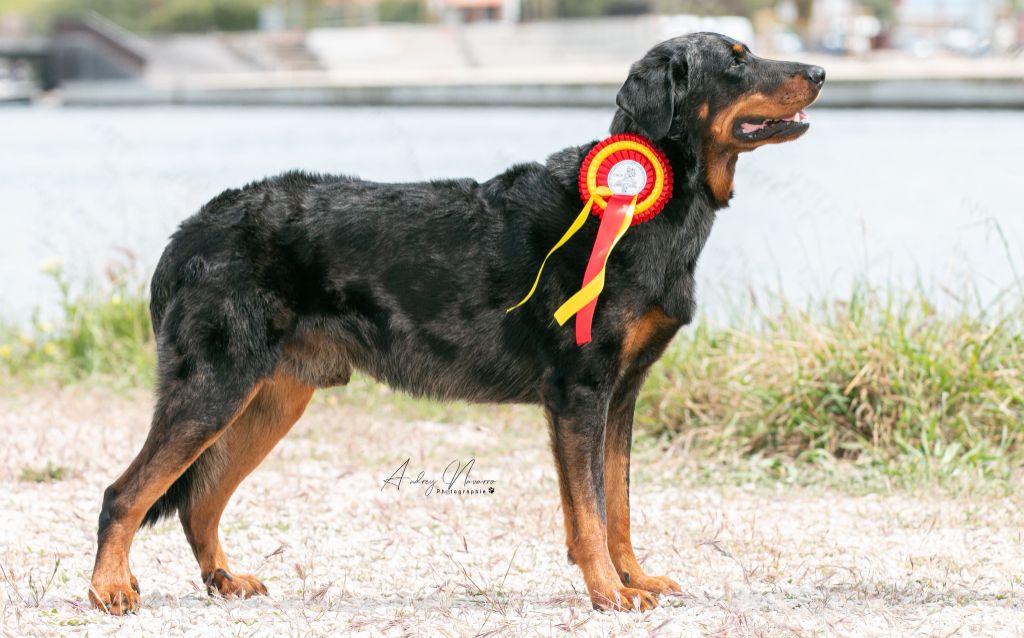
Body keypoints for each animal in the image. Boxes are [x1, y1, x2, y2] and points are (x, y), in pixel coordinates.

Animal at [88, 33, 823, 614]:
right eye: (737, 62)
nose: (818, 72)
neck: (646, 207)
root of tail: (190, 230)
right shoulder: (580, 392)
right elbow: (588, 510)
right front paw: (608, 592)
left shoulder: (622, 395)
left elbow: (615, 506)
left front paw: (632, 578)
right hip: (214, 387)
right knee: (126, 493)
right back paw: (109, 589)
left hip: (270, 399)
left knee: (198, 499)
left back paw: (223, 579)